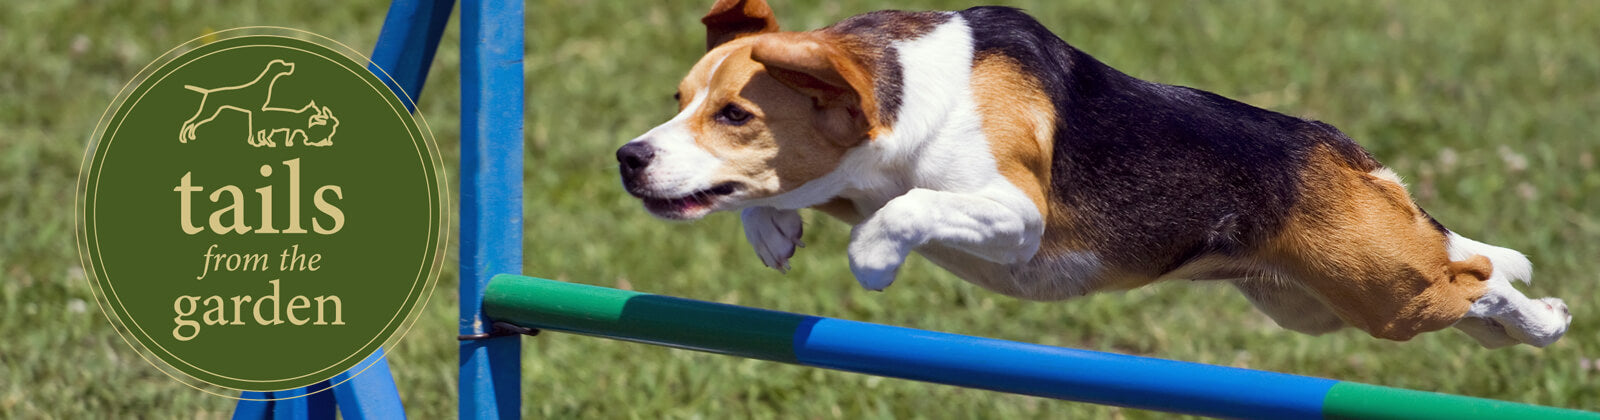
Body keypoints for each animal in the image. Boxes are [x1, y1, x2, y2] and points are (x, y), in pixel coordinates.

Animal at [617, 0, 1568, 347]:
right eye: (680, 101)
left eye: (735, 115)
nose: (629, 158)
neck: (905, 89)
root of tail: (1339, 146)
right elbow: (796, 203)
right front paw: (775, 231)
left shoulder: (1015, 213)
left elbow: (904, 210)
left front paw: (874, 261)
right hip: (1311, 305)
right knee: (1471, 285)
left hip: (1382, 288)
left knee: (1475, 276)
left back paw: (1548, 318)